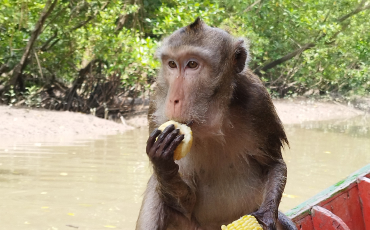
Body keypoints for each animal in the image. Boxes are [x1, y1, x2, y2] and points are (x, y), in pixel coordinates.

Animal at [137, 18, 298, 230]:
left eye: (192, 64)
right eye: (172, 64)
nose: (173, 100)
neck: (211, 117)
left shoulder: (258, 100)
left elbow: (274, 164)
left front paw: (265, 216)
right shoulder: (155, 106)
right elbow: (187, 201)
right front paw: (162, 163)